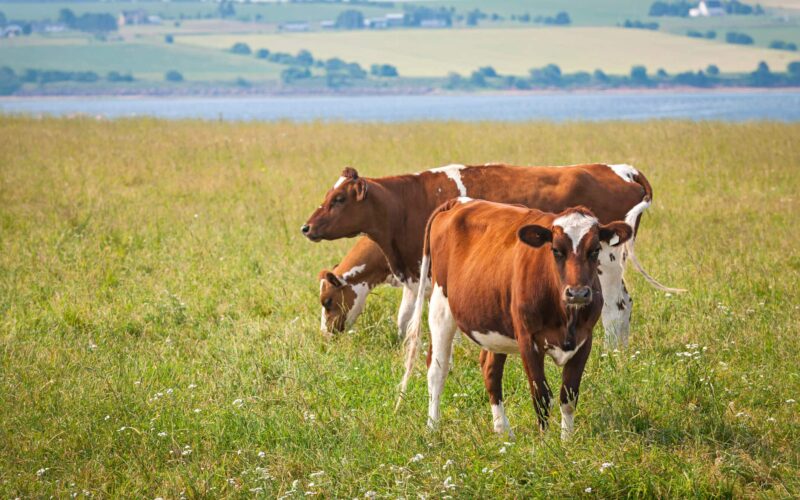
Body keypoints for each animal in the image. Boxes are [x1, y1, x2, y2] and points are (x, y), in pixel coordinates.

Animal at [302, 164, 680, 348]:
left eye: (339, 199)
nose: (307, 227)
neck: (406, 203)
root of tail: (622, 169)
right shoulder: (414, 275)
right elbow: (404, 320)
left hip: (606, 262)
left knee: (616, 308)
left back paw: (613, 354)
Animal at [396, 199, 636, 438]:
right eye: (556, 250)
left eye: (595, 250)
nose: (577, 293)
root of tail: (458, 202)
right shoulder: (528, 339)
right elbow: (541, 396)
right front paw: (545, 441)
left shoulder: (584, 340)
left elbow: (568, 396)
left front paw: (567, 440)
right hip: (440, 307)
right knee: (437, 369)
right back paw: (432, 428)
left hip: (493, 322)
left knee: (490, 370)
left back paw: (503, 431)